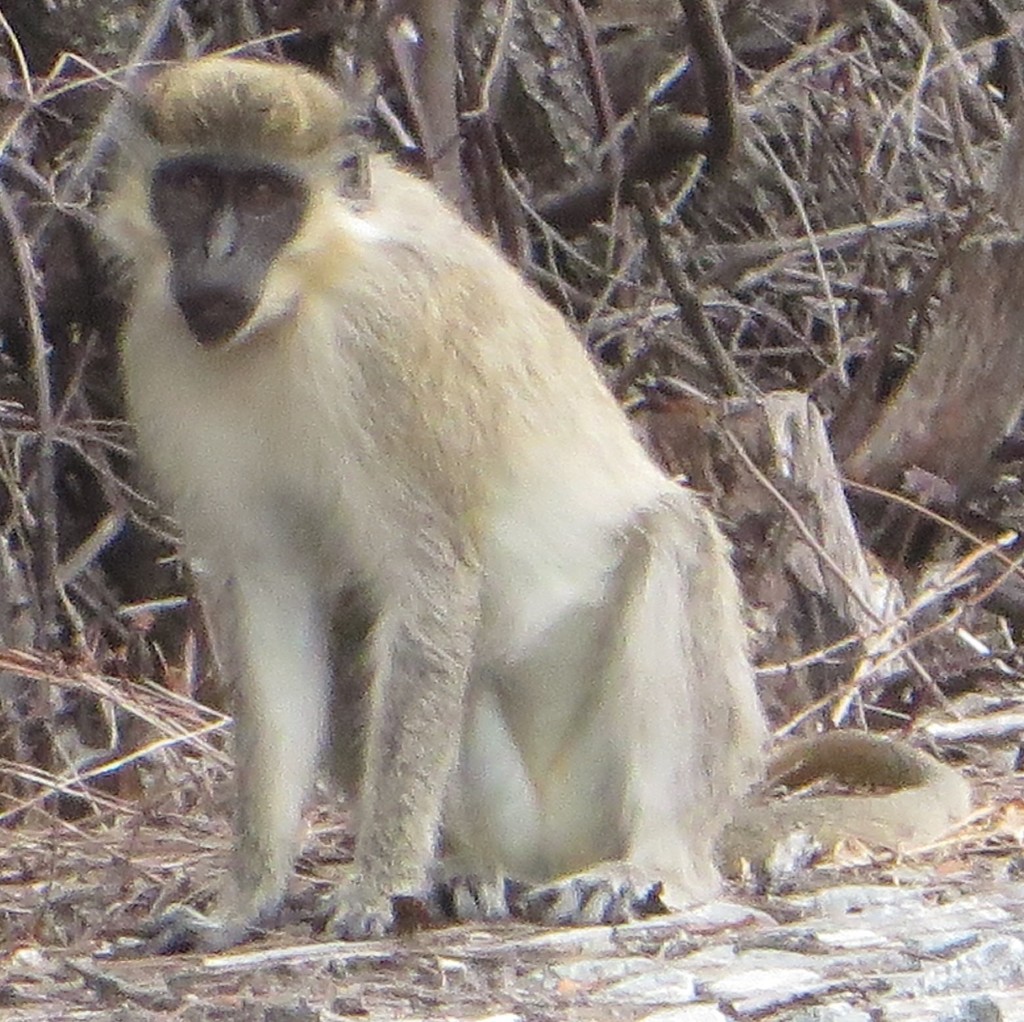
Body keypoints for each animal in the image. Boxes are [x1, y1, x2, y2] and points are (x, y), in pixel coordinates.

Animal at [99, 56, 969, 952]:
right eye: (194, 184)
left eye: (266, 194)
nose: (219, 251)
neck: (294, 308)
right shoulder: (160, 349)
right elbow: (274, 596)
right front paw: (242, 904)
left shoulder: (391, 344)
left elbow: (432, 579)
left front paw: (378, 884)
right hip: (515, 808)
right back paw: (469, 868)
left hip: (611, 784)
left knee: (672, 535)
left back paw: (651, 864)